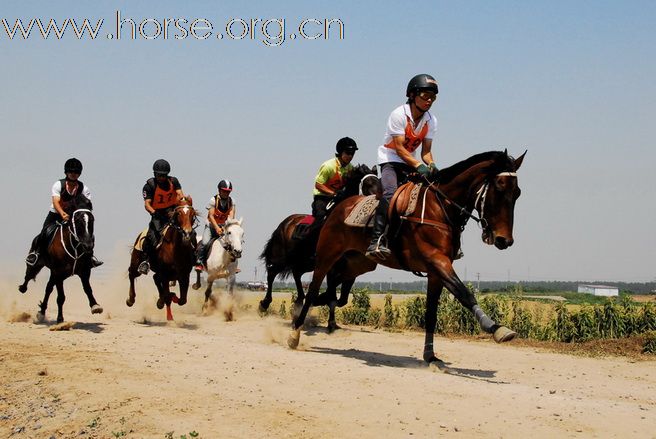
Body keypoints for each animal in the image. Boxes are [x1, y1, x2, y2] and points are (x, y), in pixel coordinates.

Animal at [256, 163, 380, 332]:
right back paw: (265, 304)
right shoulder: (331, 267)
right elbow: (332, 295)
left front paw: (331, 322)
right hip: (283, 257)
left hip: (305, 262)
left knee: (296, 273)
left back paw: (299, 302)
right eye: (368, 184)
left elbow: (340, 299)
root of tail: (286, 222)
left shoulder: (348, 270)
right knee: (272, 272)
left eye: (379, 181)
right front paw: (325, 315)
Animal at [288, 150, 528, 366]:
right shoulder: (437, 261)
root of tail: (339, 207)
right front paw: (497, 328)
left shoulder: (435, 272)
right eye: (499, 187)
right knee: (312, 291)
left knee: (331, 294)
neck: (439, 207)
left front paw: (430, 356)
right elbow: (465, 294)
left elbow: (431, 313)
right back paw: (294, 332)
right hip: (327, 255)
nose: (504, 240)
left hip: (357, 263)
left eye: (517, 192)